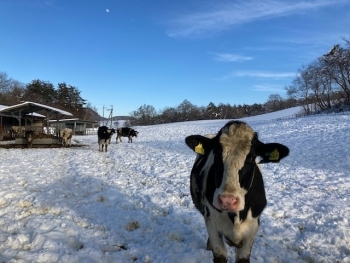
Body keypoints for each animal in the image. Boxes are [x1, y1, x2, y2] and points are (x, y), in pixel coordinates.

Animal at [185, 121, 288, 263]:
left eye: (251, 157)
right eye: (216, 154)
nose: (227, 200)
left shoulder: (252, 227)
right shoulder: (211, 221)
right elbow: (220, 255)